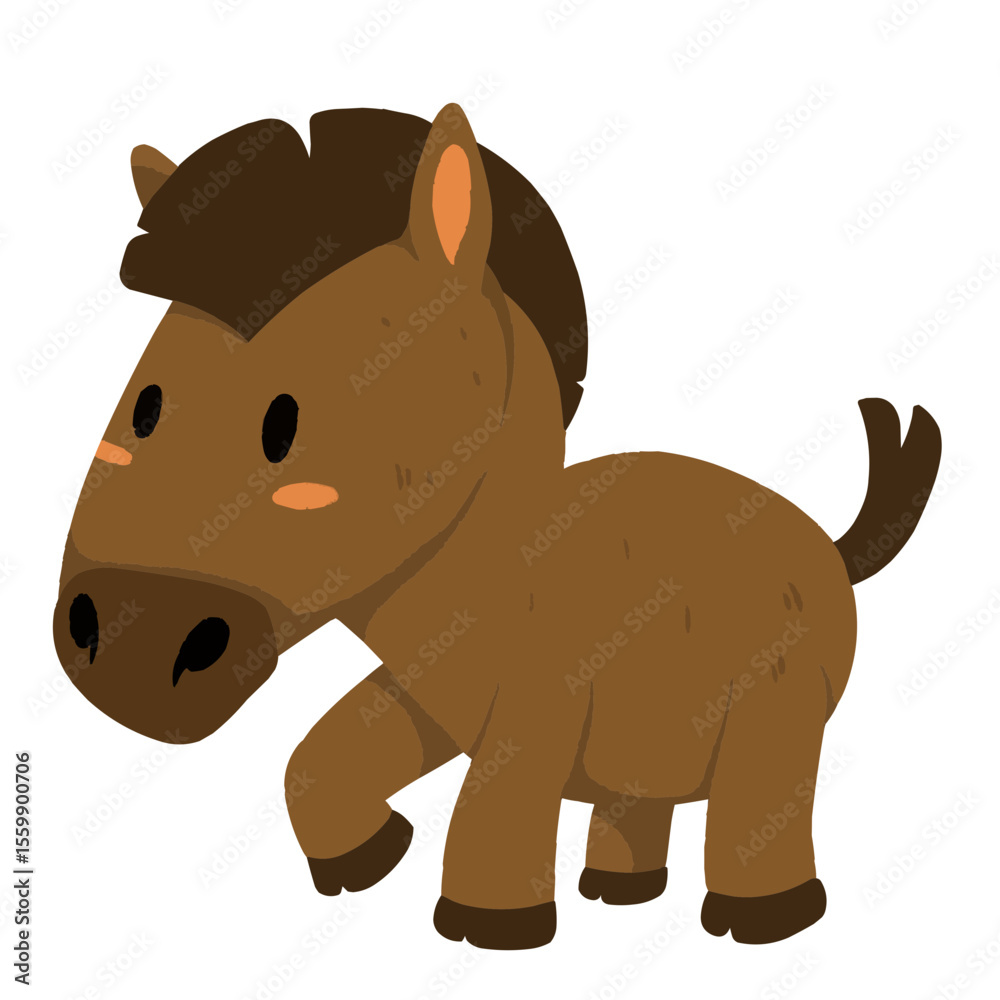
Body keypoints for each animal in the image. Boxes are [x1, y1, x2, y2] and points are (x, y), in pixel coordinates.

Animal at [53, 103, 942, 950]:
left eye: (285, 422)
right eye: (145, 406)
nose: (126, 647)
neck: (501, 570)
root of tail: (829, 544)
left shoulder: (530, 712)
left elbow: (489, 812)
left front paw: (489, 928)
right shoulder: (429, 691)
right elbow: (322, 755)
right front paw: (366, 859)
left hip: (778, 707)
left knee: (762, 799)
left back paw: (759, 919)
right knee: (638, 798)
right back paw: (618, 891)